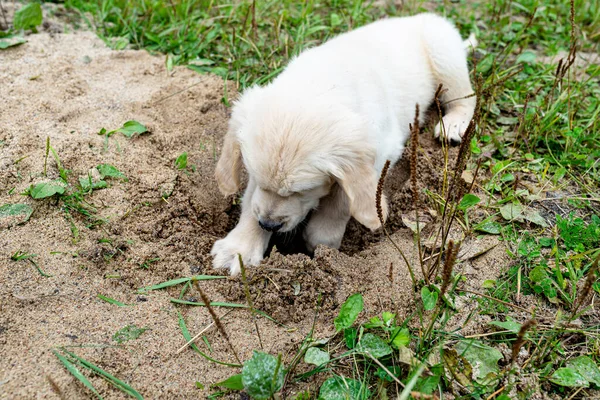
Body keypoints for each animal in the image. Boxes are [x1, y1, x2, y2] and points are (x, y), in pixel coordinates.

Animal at [209, 13, 476, 276]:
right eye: (254, 177)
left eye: (303, 191)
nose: (268, 224)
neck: (320, 84)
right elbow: (250, 202)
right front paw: (239, 249)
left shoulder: (382, 149)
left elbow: (344, 197)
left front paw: (322, 239)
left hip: (443, 52)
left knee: (466, 97)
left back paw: (454, 124)